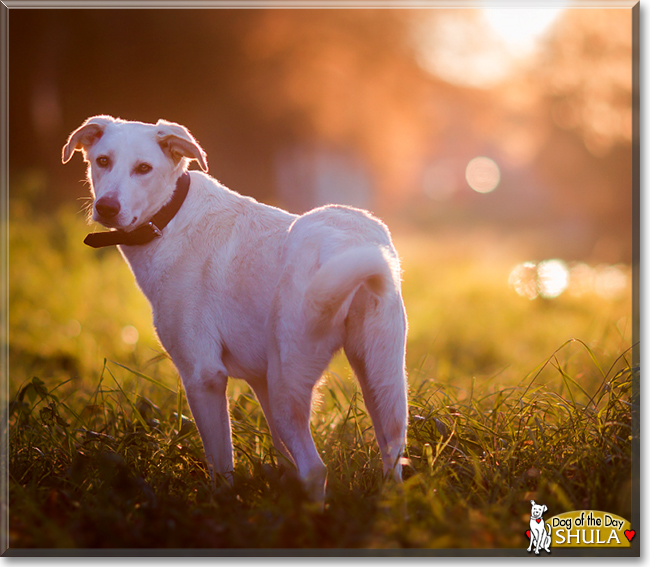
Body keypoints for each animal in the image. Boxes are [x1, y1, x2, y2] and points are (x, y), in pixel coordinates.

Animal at [60, 115, 404, 502]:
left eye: (143, 168)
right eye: (103, 161)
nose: (107, 207)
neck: (169, 218)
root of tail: (346, 243)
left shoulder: (203, 377)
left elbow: (221, 465)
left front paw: (220, 506)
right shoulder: (261, 381)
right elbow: (283, 458)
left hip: (290, 384)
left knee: (316, 469)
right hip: (381, 381)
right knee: (391, 457)